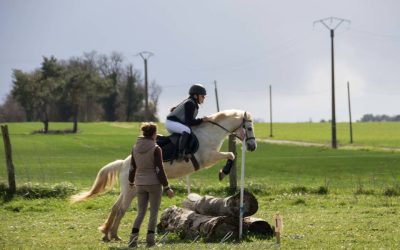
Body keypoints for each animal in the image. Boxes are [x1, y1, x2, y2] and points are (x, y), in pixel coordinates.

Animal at [70, 110, 258, 242]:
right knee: (122, 208)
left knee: (116, 207)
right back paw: (114, 235)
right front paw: (223, 173)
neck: (210, 132)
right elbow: (231, 155)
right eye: (248, 127)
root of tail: (124, 163)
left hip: (127, 189)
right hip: (132, 190)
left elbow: (231, 156)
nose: (252, 147)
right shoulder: (209, 157)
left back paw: (107, 234)